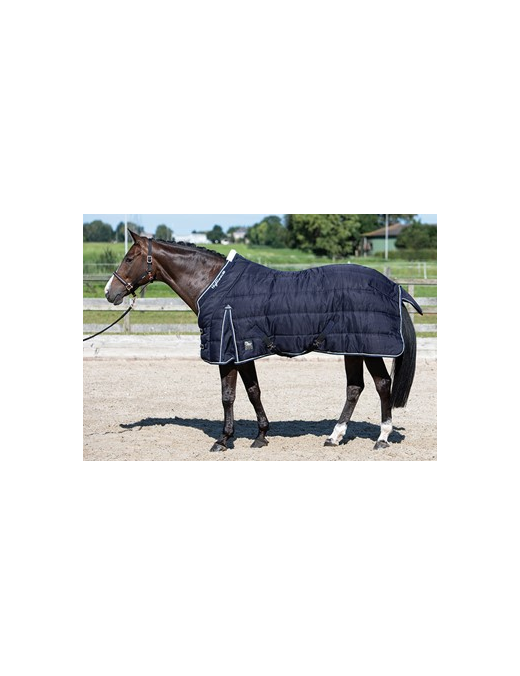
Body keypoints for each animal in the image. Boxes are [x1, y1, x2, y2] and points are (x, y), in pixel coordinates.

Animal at [104, 230, 422, 453]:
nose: (110, 292)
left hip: (369, 348)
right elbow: (253, 391)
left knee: (382, 386)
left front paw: (223, 440)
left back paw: (381, 438)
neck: (213, 285)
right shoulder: (243, 351)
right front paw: (261, 436)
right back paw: (334, 437)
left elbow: (228, 396)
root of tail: (394, 287)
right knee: (355, 388)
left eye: (129, 258)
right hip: (352, 347)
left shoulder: (227, 352)